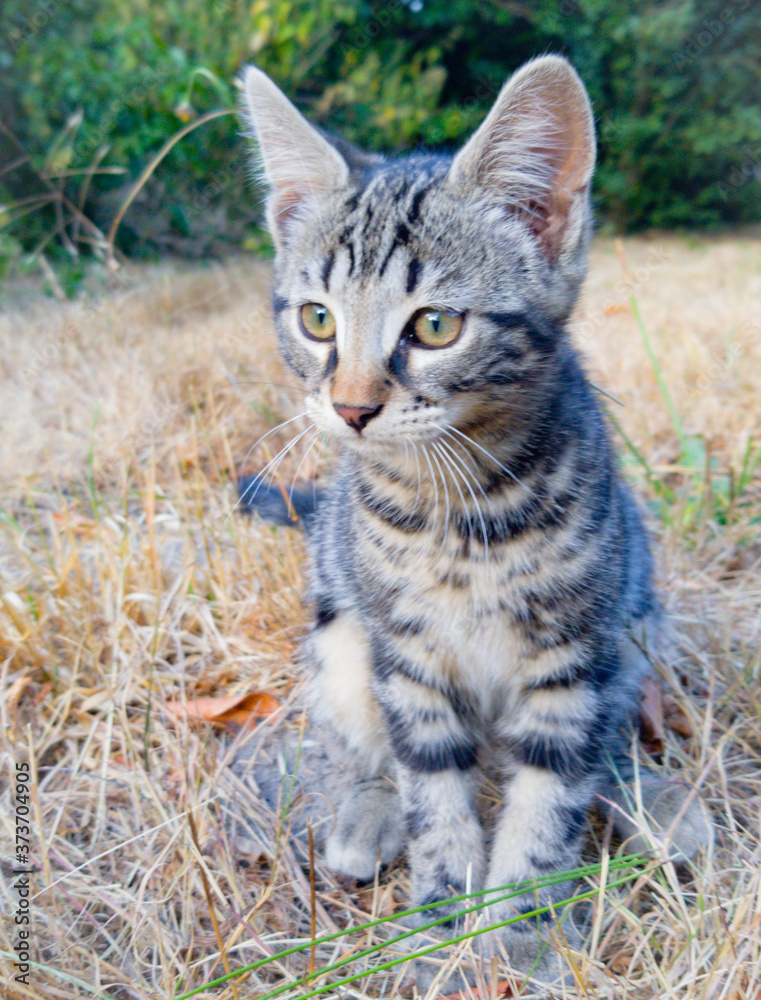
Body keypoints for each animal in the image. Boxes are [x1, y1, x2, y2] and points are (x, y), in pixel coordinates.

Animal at [240, 56, 708, 992]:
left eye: (434, 325)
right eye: (317, 319)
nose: (349, 409)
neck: (457, 514)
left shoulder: (573, 661)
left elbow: (550, 802)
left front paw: (520, 934)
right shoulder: (407, 659)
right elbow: (430, 783)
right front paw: (440, 923)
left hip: (633, 629)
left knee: (607, 745)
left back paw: (654, 800)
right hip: (342, 633)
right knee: (365, 740)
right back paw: (367, 814)